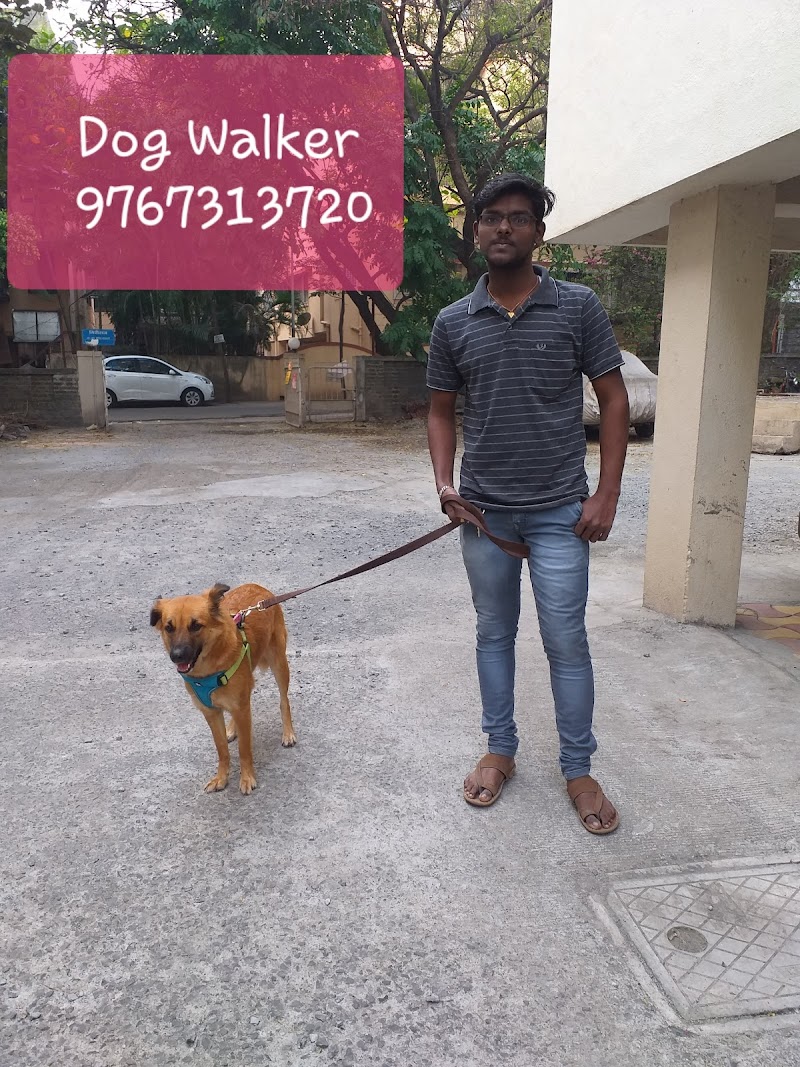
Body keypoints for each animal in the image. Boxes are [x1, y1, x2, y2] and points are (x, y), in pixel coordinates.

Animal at [150, 582, 294, 795]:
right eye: (169, 627)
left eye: (196, 625)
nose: (176, 656)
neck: (208, 670)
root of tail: (257, 586)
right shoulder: (211, 712)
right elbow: (222, 749)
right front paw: (221, 778)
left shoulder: (241, 708)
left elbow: (244, 749)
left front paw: (247, 778)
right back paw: (232, 729)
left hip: (279, 664)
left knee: (284, 700)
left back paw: (288, 733)